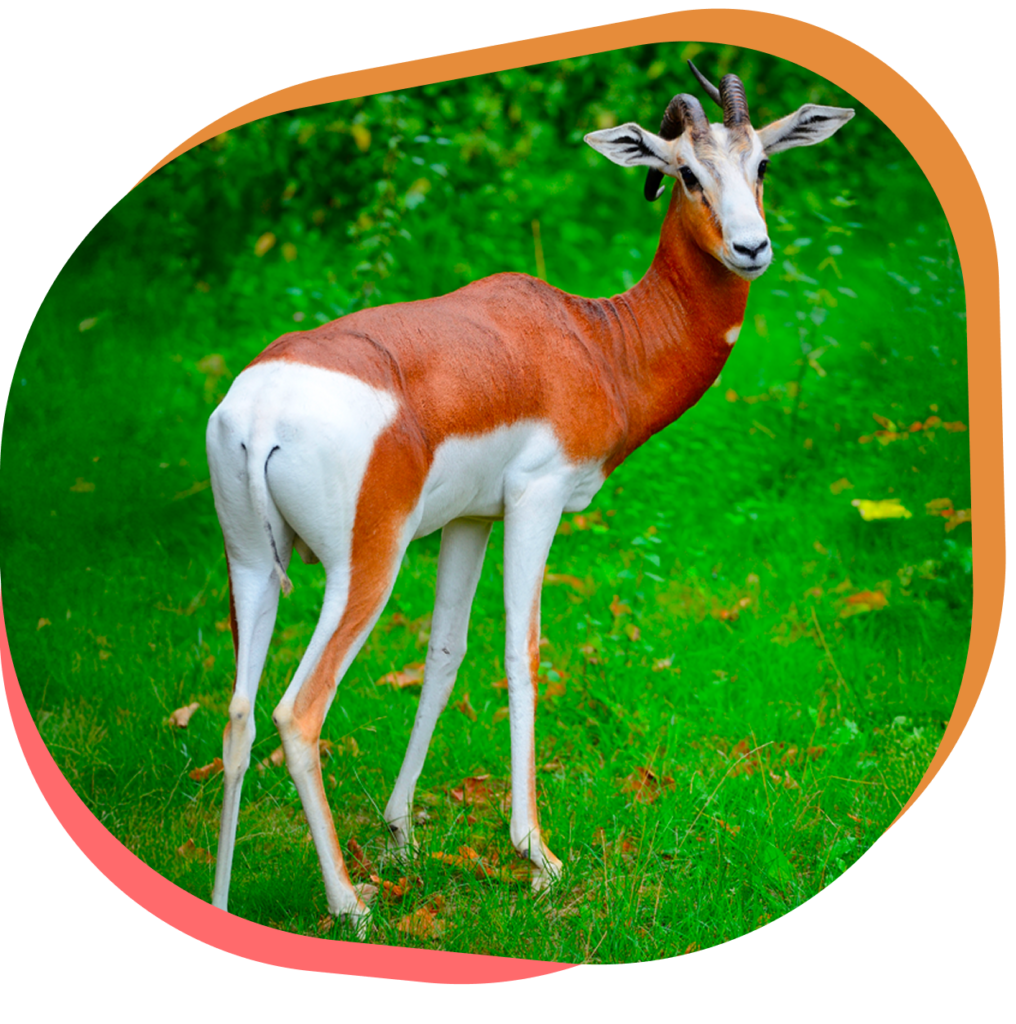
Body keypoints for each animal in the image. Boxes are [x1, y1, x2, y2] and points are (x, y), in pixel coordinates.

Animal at [206, 62, 853, 931]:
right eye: (688, 172)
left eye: (764, 165)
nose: (752, 248)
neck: (596, 342)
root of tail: (262, 410)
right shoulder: (536, 501)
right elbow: (524, 652)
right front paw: (537, 856)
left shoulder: (471, 520)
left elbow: (445, 654)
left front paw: (402, 834)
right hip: (362, 570)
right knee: (296, 714)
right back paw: (350, 905)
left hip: (249, 566)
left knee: (240, 715)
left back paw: (224, 900)